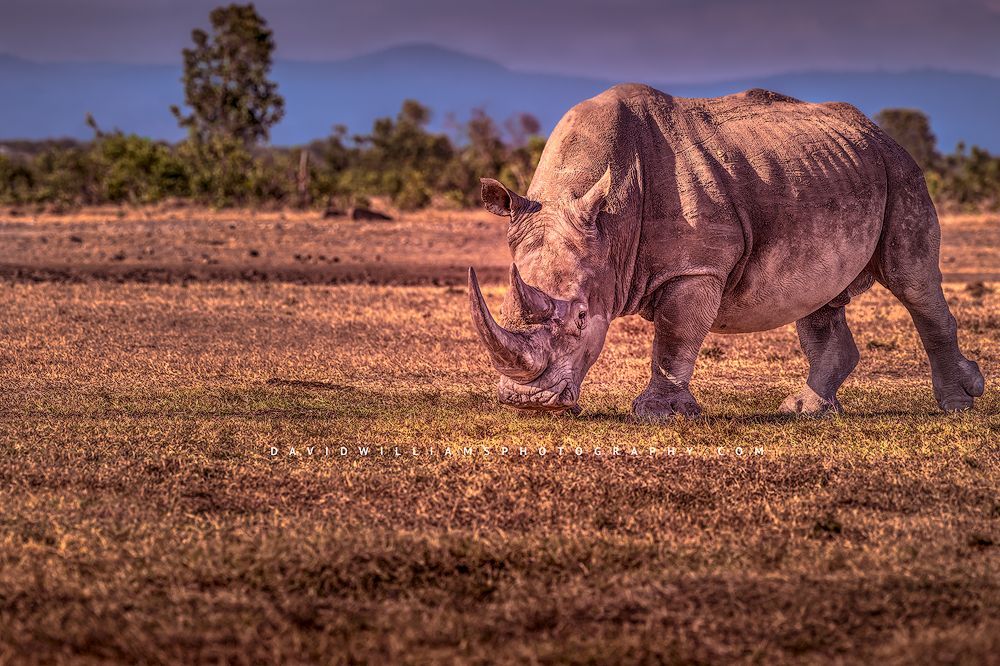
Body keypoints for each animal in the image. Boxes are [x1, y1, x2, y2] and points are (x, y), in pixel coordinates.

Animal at [468, 83, 984, 418]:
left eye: (580, 319)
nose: (525, 402)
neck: (608, 225)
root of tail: (876, 130)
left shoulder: (697, 267)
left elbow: (675, 336)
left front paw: (660, 414)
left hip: (900, 170)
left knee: (913, 281)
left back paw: (958, 404)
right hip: (833, 169)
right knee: (818, 302)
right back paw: (806, 411)